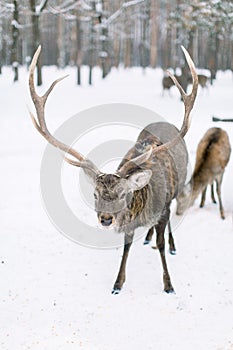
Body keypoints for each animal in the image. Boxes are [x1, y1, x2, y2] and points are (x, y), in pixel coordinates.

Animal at [28, 45, 198, 294]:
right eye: (95, 194)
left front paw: (168, 284)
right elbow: (126, 247)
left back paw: (169, 244)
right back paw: (146, 237)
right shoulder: (128, 224)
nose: (106, 219)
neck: (143, 208)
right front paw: (118, 283)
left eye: (123, 193)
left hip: (176, 191)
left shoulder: (163, 209)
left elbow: (161, 244)